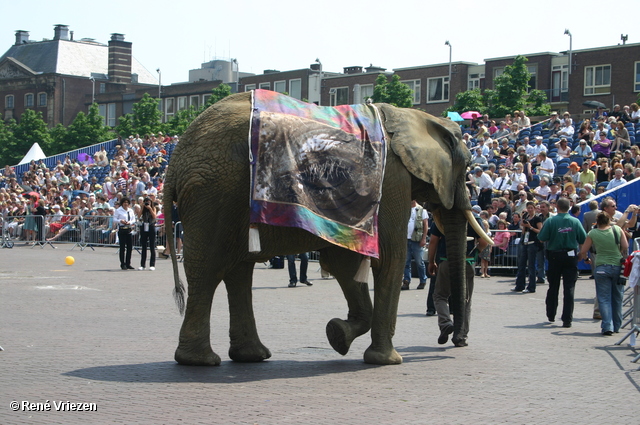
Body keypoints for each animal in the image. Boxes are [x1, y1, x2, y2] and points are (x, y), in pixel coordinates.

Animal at [164, 91, 490, 366]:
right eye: (466, 165)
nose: (455, 340)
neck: (411, 116)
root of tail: (175, 161)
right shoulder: (391, 179)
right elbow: (389, 257)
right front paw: (386, 361)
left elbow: (345, 261)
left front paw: (337, 335)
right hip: (213, 193)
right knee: (209, 269)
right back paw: (200, 361)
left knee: (238, 271)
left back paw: (251, 356)